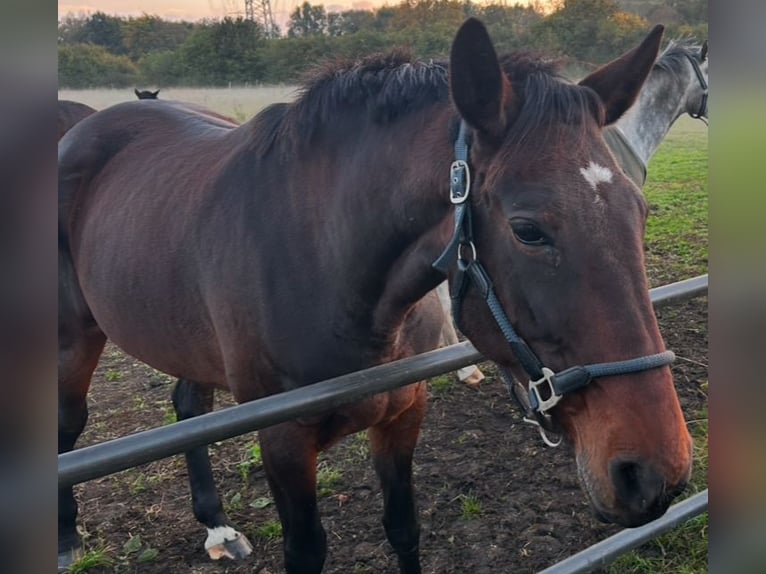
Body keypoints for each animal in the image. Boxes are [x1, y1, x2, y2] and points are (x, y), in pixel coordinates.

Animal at [61, 19, 696, 574]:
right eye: (528, 230)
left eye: (640, 212)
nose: (654, 473)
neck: (324, 266)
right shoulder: (283, 442)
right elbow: (306, 553)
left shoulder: (403, 414)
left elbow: (403, 528)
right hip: (76, 337)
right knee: (71, 424)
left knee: (188, 406)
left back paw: (217, 527)